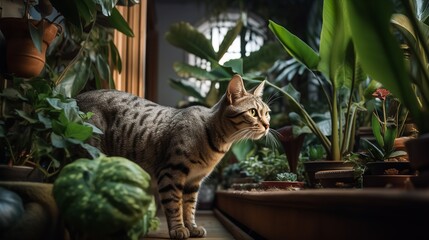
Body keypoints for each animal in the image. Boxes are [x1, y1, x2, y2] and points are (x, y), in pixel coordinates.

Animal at [76, 74, 270, 239]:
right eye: (253, 112)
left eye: (267, 112)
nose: (268, 124)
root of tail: (76, 97)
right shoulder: (171, 173)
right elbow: (174, 204)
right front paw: (178, 229)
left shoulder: (194, 181)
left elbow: (189, 206)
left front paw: (192, 227)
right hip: (92, 152)